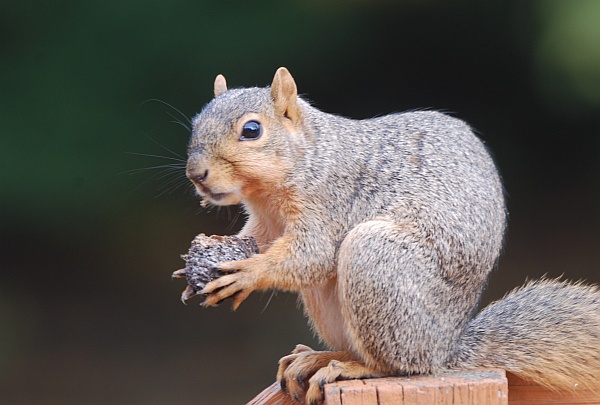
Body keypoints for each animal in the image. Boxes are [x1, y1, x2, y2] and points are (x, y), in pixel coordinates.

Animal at [184, 68, 600, 402]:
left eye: (251, 130)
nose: (196, 174)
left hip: (376, 261)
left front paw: (246, 273)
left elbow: (312, 255)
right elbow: (259, 241)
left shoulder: (331, 201)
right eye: (195, 123)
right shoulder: (265, 224)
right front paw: (205, 257)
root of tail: (444, 350)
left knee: (397, 365)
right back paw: (320, 357)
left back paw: (350, 367)